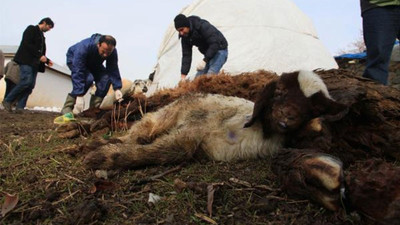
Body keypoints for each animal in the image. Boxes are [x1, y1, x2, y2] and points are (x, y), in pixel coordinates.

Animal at [83, 70, 346, 169]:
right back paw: (98, 142)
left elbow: (163, 151)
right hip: (170, 112)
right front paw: (102, 156)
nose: (286, 118)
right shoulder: (192, 130)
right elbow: (151, 149)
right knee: (142, 128)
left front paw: (104, 156)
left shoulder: (190, 140)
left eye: (313, 109)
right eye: (279, 91)